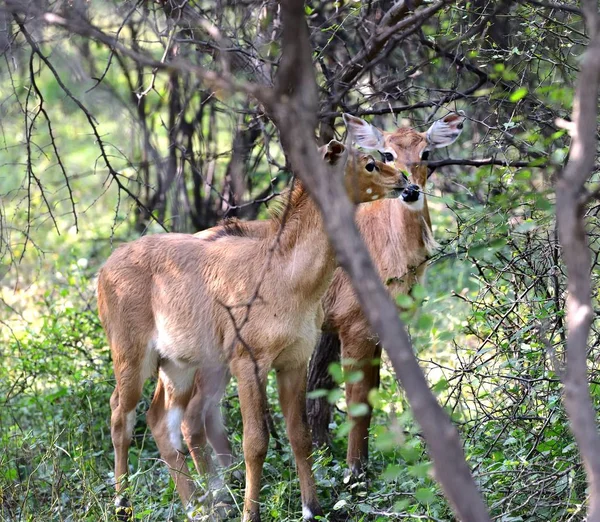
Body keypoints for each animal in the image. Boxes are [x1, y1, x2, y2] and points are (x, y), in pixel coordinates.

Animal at [97, 139, 408, 520]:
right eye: (369, 164)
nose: (405, 181)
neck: (289, 279)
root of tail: (103, 271)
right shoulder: (248, 361)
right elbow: (255, 442)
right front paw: (251, 512)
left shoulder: (294, 360)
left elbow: (300, 435)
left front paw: (311, 507)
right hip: (131, 353)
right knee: (119, 415)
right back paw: (123, 503)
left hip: (178, 363)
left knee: (160, 420)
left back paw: (198, 506)